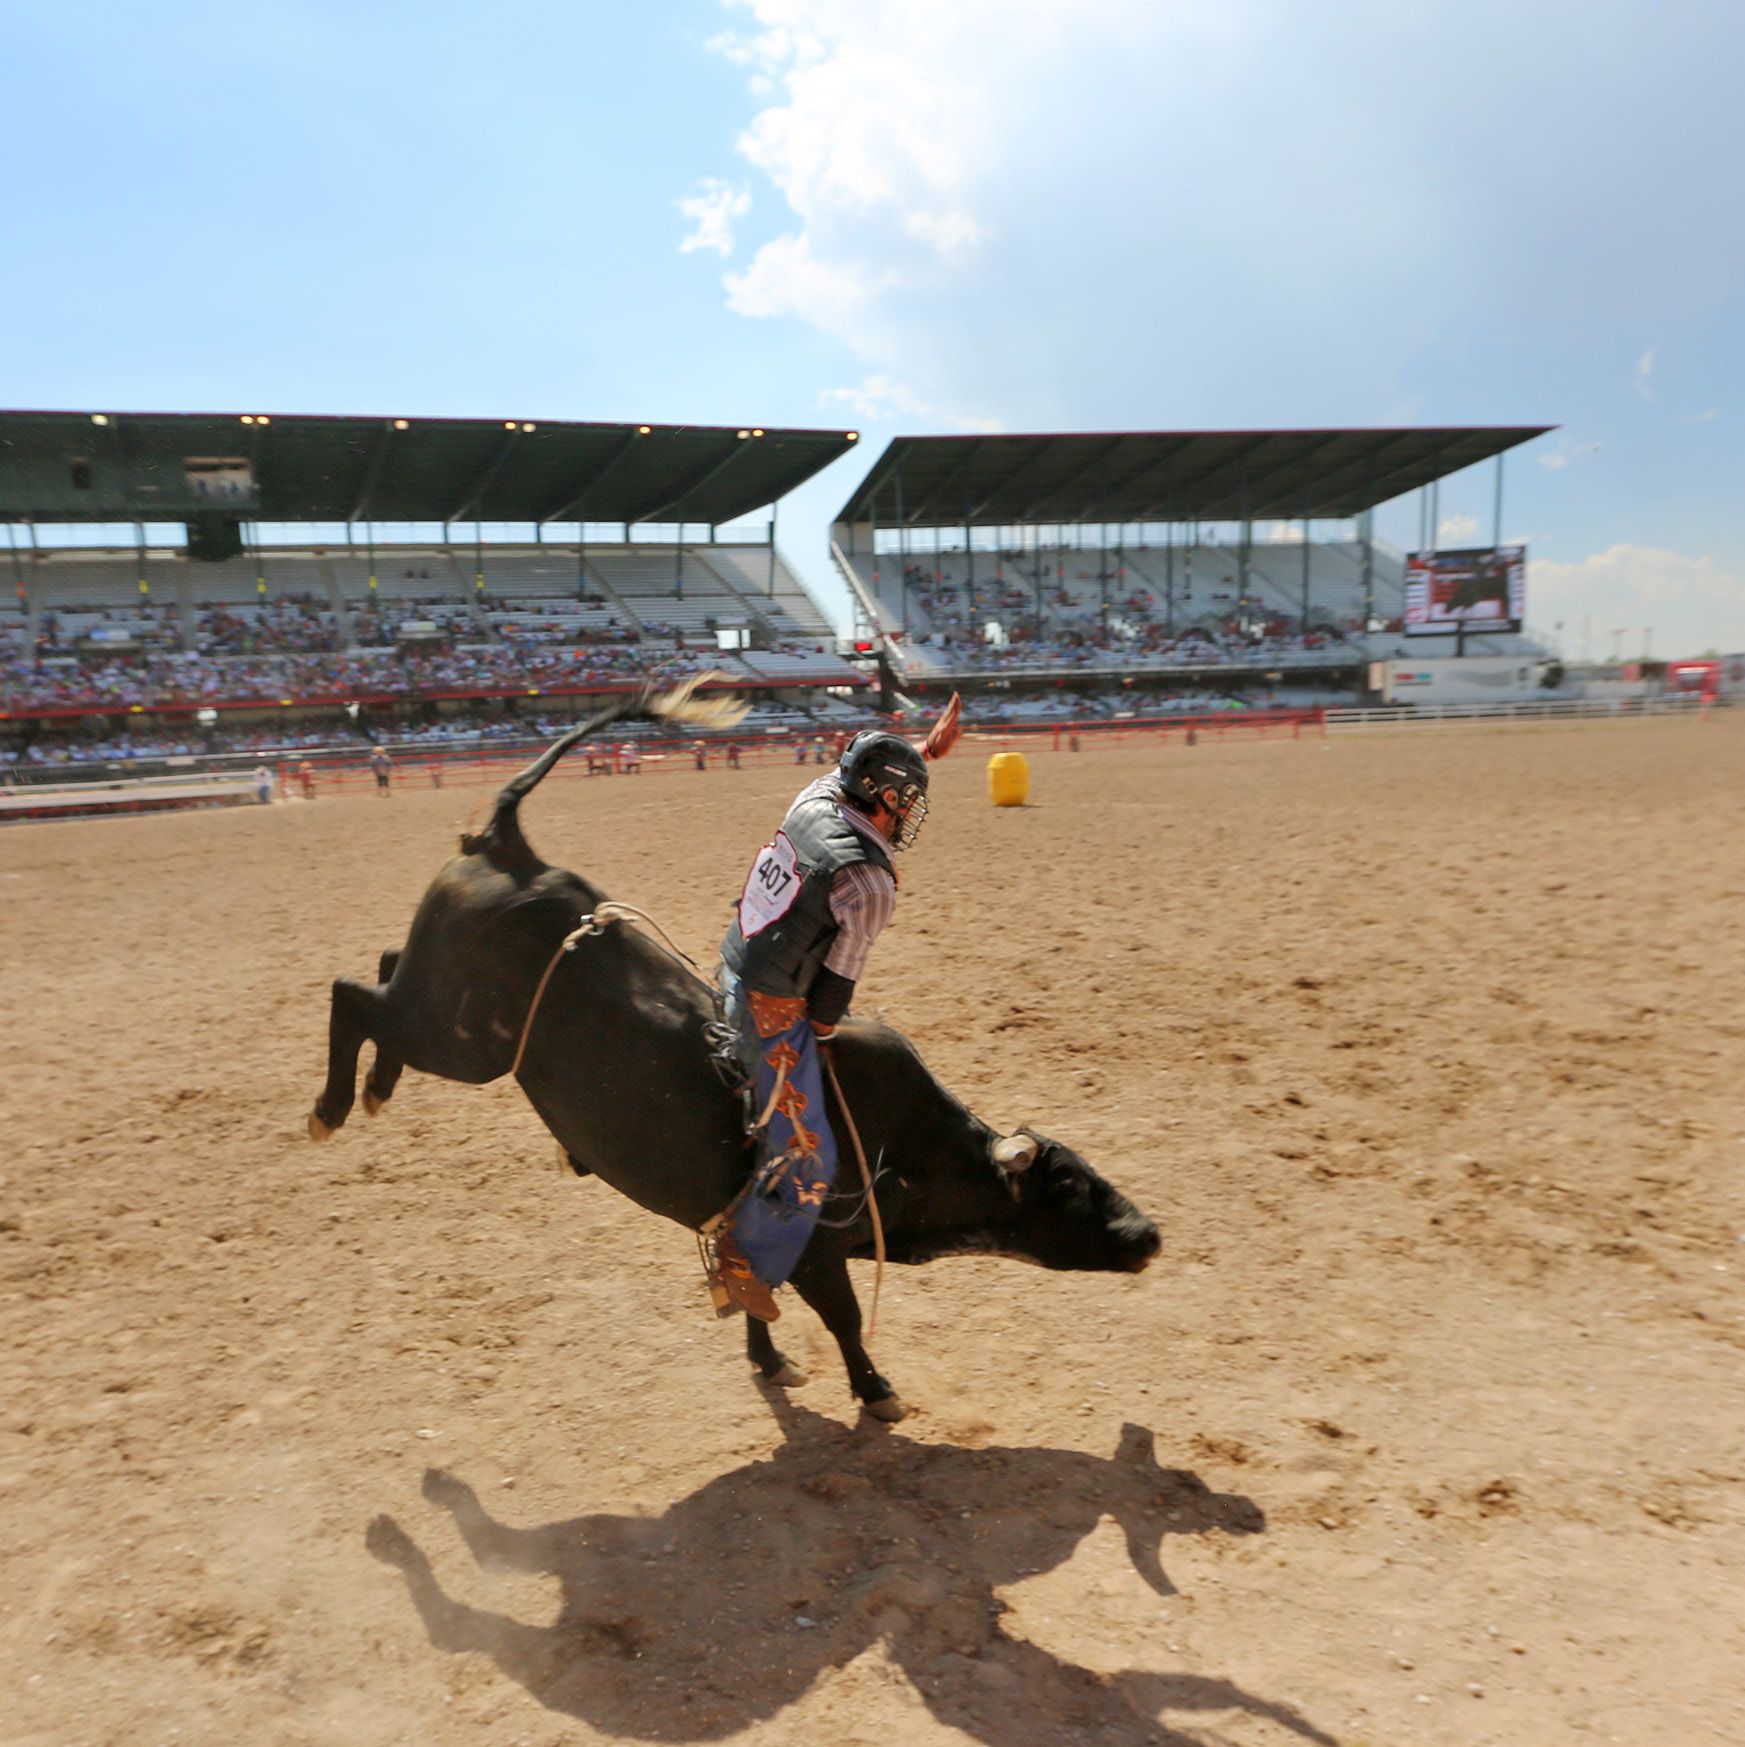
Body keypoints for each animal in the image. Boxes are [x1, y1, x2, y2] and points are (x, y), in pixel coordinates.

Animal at [314, 681, 1159, 1418]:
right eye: (1070, 1184)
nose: (1148, 1232)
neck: (907, 1143)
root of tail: (510, 847)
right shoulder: (813, 1247)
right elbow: (840, 1318)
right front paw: (875, 1389)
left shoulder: (754, 1231)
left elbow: (760, 1297)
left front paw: (767, 1359)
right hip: (463, 1041)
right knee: (351, 994)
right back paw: (333, 1105)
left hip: (438, 999)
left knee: (385, 967)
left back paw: (375, 1085)